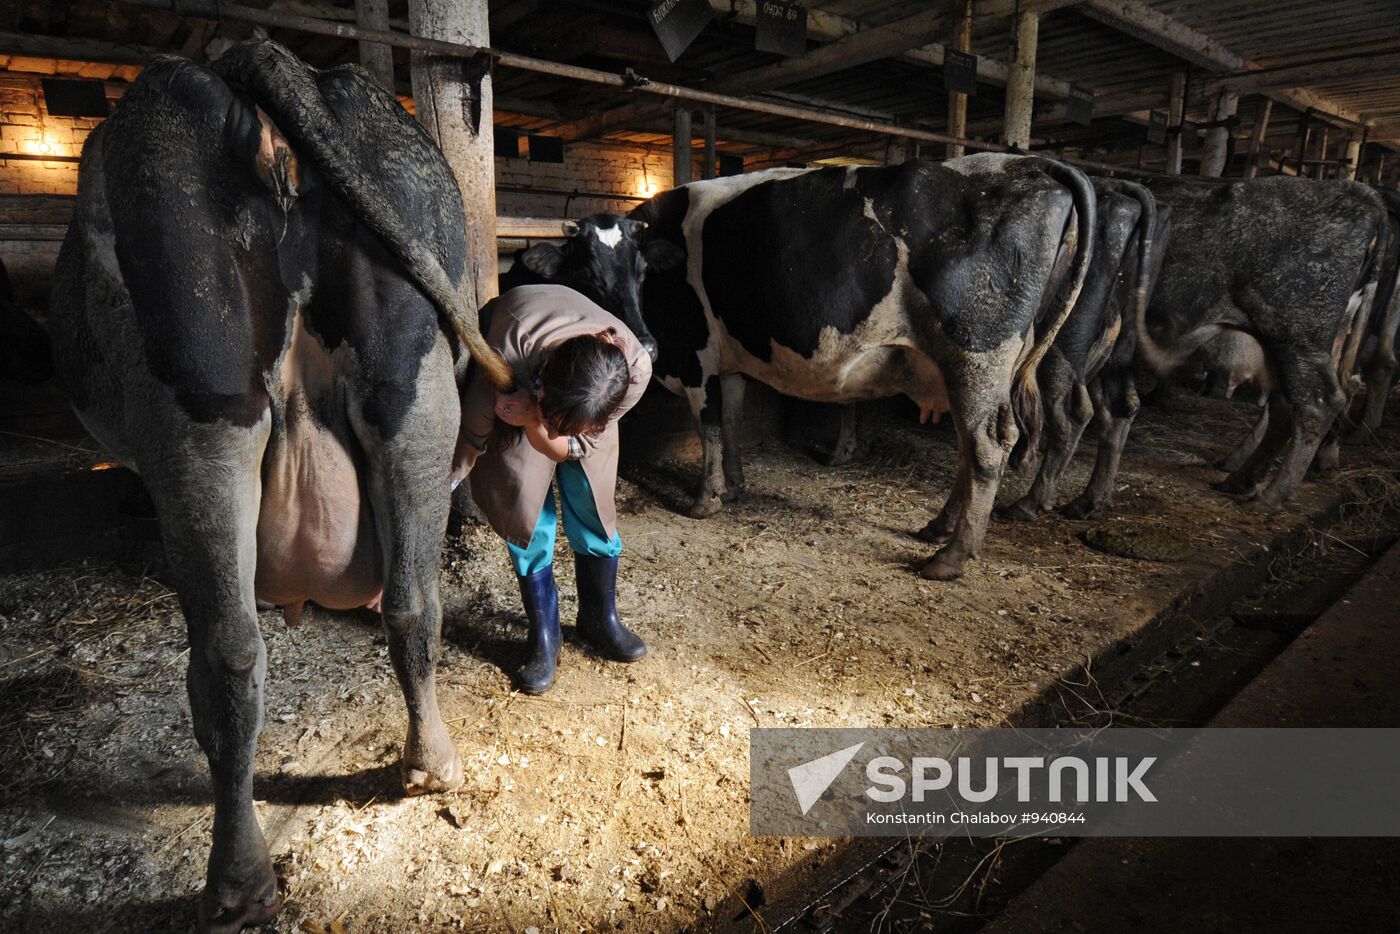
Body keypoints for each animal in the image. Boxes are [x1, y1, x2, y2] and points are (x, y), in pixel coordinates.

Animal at [47, 40, 515, 929]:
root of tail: (264, 58)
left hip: (200, 396)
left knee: (227, 651)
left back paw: (237, 881)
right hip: (412, 385)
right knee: (412, 602)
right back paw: (431, 766)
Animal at [624, 153, 1092, 576]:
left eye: (636, 270)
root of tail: (1029, 164)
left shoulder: (693, 357)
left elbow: (708, 426)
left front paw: (705, 500)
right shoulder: (730, 360)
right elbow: (732, 419)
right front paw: (734, 485)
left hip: (977, 352)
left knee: (987, 444)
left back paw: (951, 556)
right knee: (970, 442)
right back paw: (938, 527)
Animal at [996, 179, 1170, 523]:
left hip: (1063, 346)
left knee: (1074, 412)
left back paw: (1029, 503)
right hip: (1116, 349)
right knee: (1121, 407)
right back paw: (1087, 503)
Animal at [1136, 177, 1388, 512]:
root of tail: (1358, 191)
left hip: (1295, 334)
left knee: (1317, 402)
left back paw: (1271, 496)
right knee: (1287, 405)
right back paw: (1241, 479)